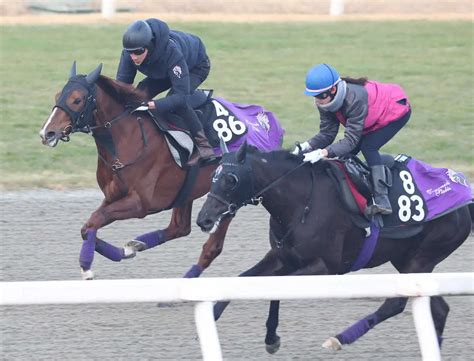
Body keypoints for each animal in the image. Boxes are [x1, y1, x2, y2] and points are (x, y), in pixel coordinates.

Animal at [38, 62, 241, 278]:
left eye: (77, 100)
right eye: (57, 96)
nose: (47, 133)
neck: (127, 139)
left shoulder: (140, 203)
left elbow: (95, 220)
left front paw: (87, 267)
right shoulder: (112, 196)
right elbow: (88, 227)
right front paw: (124, 251)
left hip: (226, 197)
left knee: (212, 247)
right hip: (187, 191)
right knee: (180, 228)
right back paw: (138, 244)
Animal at [195, 142, 470, 352]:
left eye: (231, 179)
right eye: (212, 177)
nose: (204, 219)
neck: (302, 203)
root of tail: (465, 192)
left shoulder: (325, 267)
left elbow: (275, 287)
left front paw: (270, 337)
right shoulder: (282, 256)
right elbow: (246, 280)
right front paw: (219, 316)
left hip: (422, 258)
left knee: (396, 304)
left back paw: (339, 339)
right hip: (406, 261)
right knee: (440, 309)